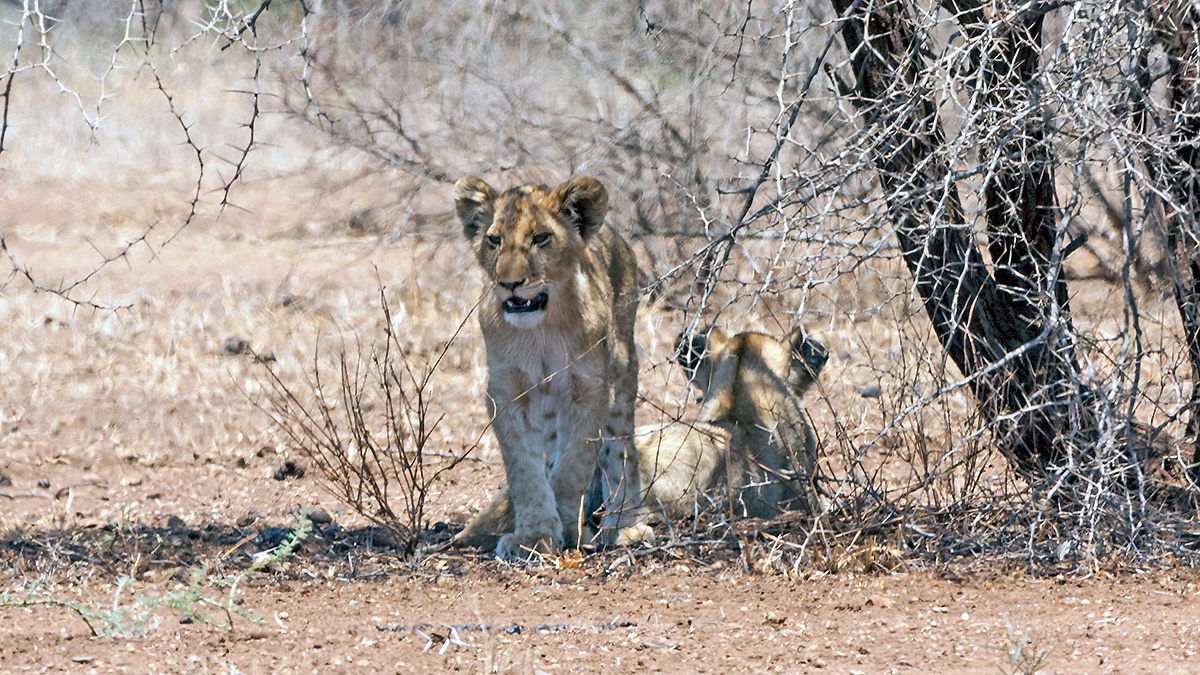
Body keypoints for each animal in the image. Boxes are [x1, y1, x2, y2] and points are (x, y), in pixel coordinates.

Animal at [450, 175, 647, 559]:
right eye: (494, 240)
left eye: (540, 238)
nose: (509, 283)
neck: (540, 330)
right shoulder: (507, 392)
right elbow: (526, 470)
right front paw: (534, 535)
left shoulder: (590, 390)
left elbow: (574, 467)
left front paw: (568, 529)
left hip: (622, 373)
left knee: (621, 450)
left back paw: (625, 525)